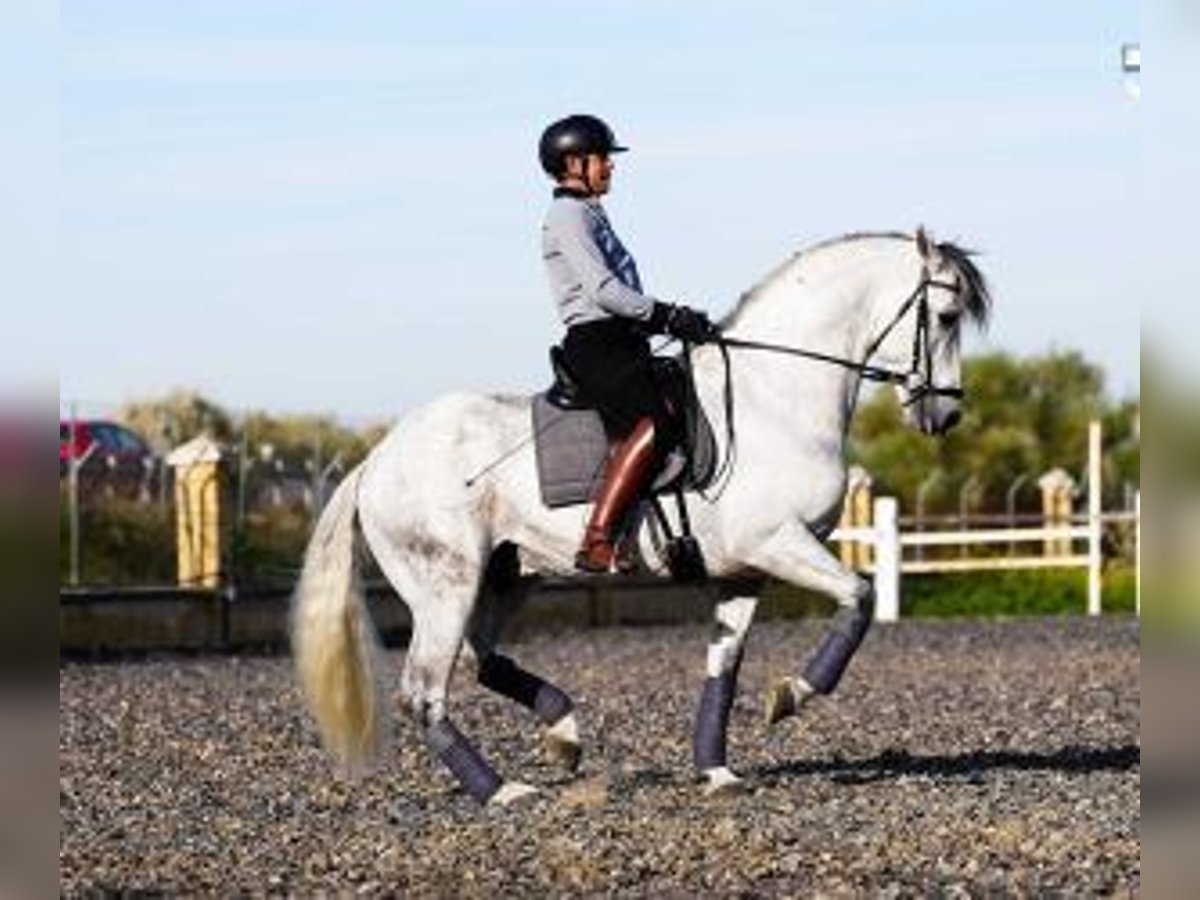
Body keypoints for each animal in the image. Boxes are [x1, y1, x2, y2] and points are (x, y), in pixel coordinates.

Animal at [292, 229, 993, 806]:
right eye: (946, 316)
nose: (946, 415)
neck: (776, 397)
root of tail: (375, 459)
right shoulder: (778, 543)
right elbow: (861, 596)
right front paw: (792, 694)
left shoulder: (744, 571)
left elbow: (724, 667)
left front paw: (717, 770)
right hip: (447, 584)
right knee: (424, 691)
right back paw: (502, 790)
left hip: (505, 576)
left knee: (479, 658)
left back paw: (564, 732)